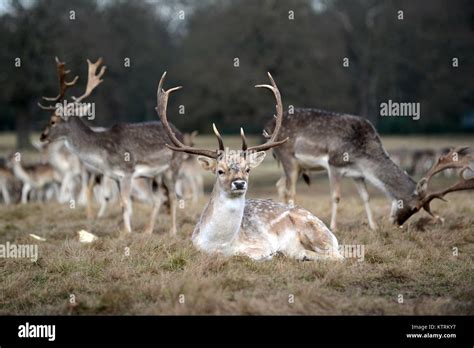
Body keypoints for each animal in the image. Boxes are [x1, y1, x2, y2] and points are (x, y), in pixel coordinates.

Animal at [38, 57, 183, 235]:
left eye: (52, 121)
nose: (42, 136)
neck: (103, 157)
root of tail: (180, 133)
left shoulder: (127, 172)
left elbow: (125, 203)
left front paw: (128, 232)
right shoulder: (116, 177)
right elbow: (122, 204)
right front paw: (127, 231)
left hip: (173, 167)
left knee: (173, 196)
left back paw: (173, 231)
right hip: (155, 175)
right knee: (158, 198)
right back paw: (148, 231)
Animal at [157, 72, 342, 260]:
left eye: (247, 169)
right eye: (220, 171)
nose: (239, 183)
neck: (220, 244)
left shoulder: (261, 243)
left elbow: (248, 254)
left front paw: (273, 254)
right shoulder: (196, 245)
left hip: (314, 229)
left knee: (337, 255)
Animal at [266, 108, 474, 228]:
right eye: (415, 207)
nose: (397, 223)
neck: (361, 155)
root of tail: (268, 126)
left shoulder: (358, 174)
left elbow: (365, 197)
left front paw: (373, 227)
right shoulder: (334, 164)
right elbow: (336, 196)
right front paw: (334, 226)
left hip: (299, 165)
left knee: (280, 185)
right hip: (287, 155)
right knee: (291, 190)